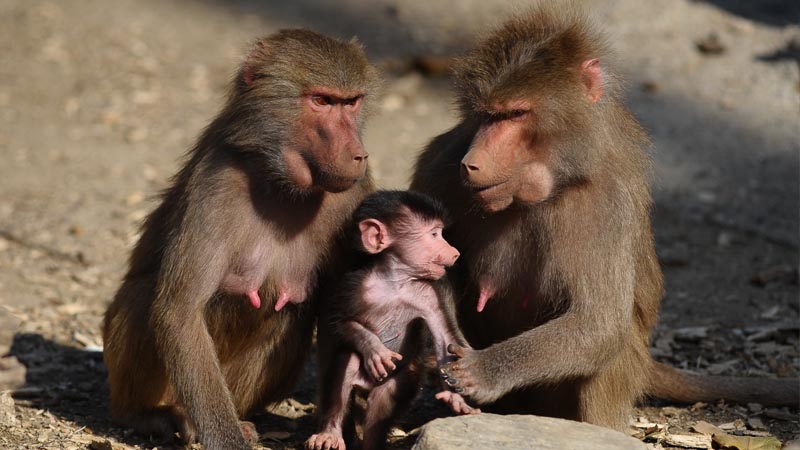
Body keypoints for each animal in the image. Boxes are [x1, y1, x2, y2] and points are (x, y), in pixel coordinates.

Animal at [102, 29, 380, 449]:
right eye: (322, 101)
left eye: (352, 102)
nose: (358, 155)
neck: (280, 179)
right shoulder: (216, 184)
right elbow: (180, 310)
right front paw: (226, 439)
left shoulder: (353, 197)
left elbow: (339, 315)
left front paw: (337, 428)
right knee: (144, 295)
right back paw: (146, 415)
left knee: (289, 315)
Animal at [306, 190, 479, 450]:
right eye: (434, 234)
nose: (455, 251)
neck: (394, 282)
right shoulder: (354, 284)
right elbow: (339, 322)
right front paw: (374, 349)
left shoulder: (429, 294)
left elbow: (444, 338)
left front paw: (456, 396)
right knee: (347, 364)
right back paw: (330, 434)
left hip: (400, 378)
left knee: (384, 402)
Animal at [410, 4, 799, 431]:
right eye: (484, 115)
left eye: (515, 114)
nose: (472, 163)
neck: (552, 184)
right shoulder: (438, 166)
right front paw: (447, 358)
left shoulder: (603, 207)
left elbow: (598, 324)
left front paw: (480, 371)